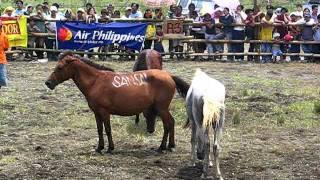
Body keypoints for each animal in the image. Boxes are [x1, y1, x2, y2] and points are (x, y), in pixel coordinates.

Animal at [45, 51, 190, 153]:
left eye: (60, 67)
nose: (48, 83)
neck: (96, 81)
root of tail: (169, 76)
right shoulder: (96, 113)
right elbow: (99, 129)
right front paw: (99, 147)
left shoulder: (104, 112)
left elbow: (108, 129)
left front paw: (110, 148)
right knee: (170, 124)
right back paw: (169, 145)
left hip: (162, 108)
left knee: (169, 124)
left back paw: (163, 147)